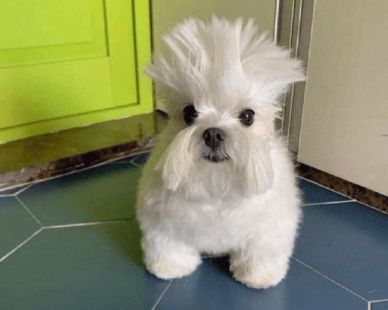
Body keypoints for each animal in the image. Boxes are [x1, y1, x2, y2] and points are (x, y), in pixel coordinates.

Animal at [136, 17, 304, 288]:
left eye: (248, 116)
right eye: (190, 113)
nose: (213, 133)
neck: (217, 188)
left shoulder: (268, 229)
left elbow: (260, 253)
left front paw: (259, 277)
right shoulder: (163, 224)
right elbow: (168, 248)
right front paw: (170, 269)